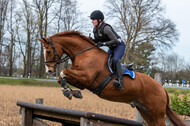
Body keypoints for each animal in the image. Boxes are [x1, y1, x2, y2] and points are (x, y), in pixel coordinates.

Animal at [38, 30, 187, 126]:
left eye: (48, 51)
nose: (49, 70)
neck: (84, 54)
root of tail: (162, 88)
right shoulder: (82, 81)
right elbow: (62, 78)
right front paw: (71, 92)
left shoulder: (86, 78)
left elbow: (63, 71)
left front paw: (70, 92)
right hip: (145, 110)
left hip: (157, 113)